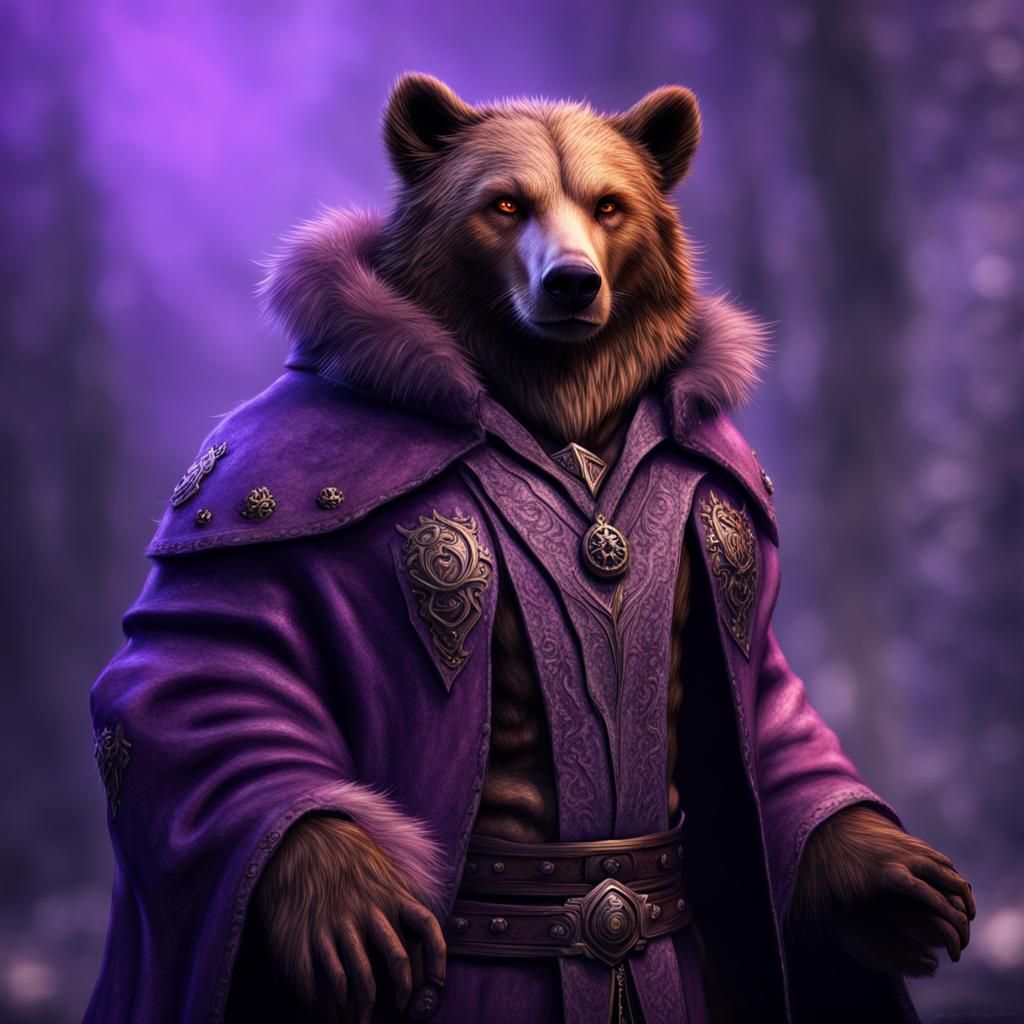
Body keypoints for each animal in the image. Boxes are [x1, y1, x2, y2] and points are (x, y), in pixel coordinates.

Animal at [87, 74, 974, 1024]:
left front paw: (880, 875)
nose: (573, 282)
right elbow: (193, 677)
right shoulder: (254, 500)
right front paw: (339, 887)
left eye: (610, 206)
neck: (563, 408)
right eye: (504, 204)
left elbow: (770, 702)